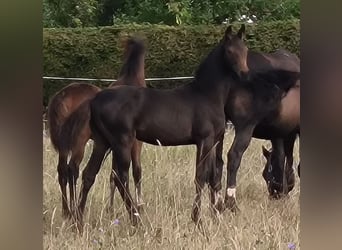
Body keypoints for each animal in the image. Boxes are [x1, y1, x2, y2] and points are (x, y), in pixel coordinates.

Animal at [46, 37, 146, 219]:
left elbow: (114, 174)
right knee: (73, 169)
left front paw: (111, 209)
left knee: (63, 170)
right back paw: (73, 211)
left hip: (64, 145)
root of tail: (62, 96)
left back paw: (66, 211)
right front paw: (138, 207)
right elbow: (136, 172)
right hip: (79, 141)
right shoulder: (135, 143)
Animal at [75, 23, 300, 229]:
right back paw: (136, 220)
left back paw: (78, 221)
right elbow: (201, 177)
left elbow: (213, 175)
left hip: (103, 142)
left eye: (244, 50)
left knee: (89, 174)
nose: (244, 74)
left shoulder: (213, 141)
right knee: (120, 178)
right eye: (230, 51)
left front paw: (216, 216)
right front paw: (198, 219)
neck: (206, 95)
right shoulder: (204, 140)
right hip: (122, 142)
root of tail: (95, 100)